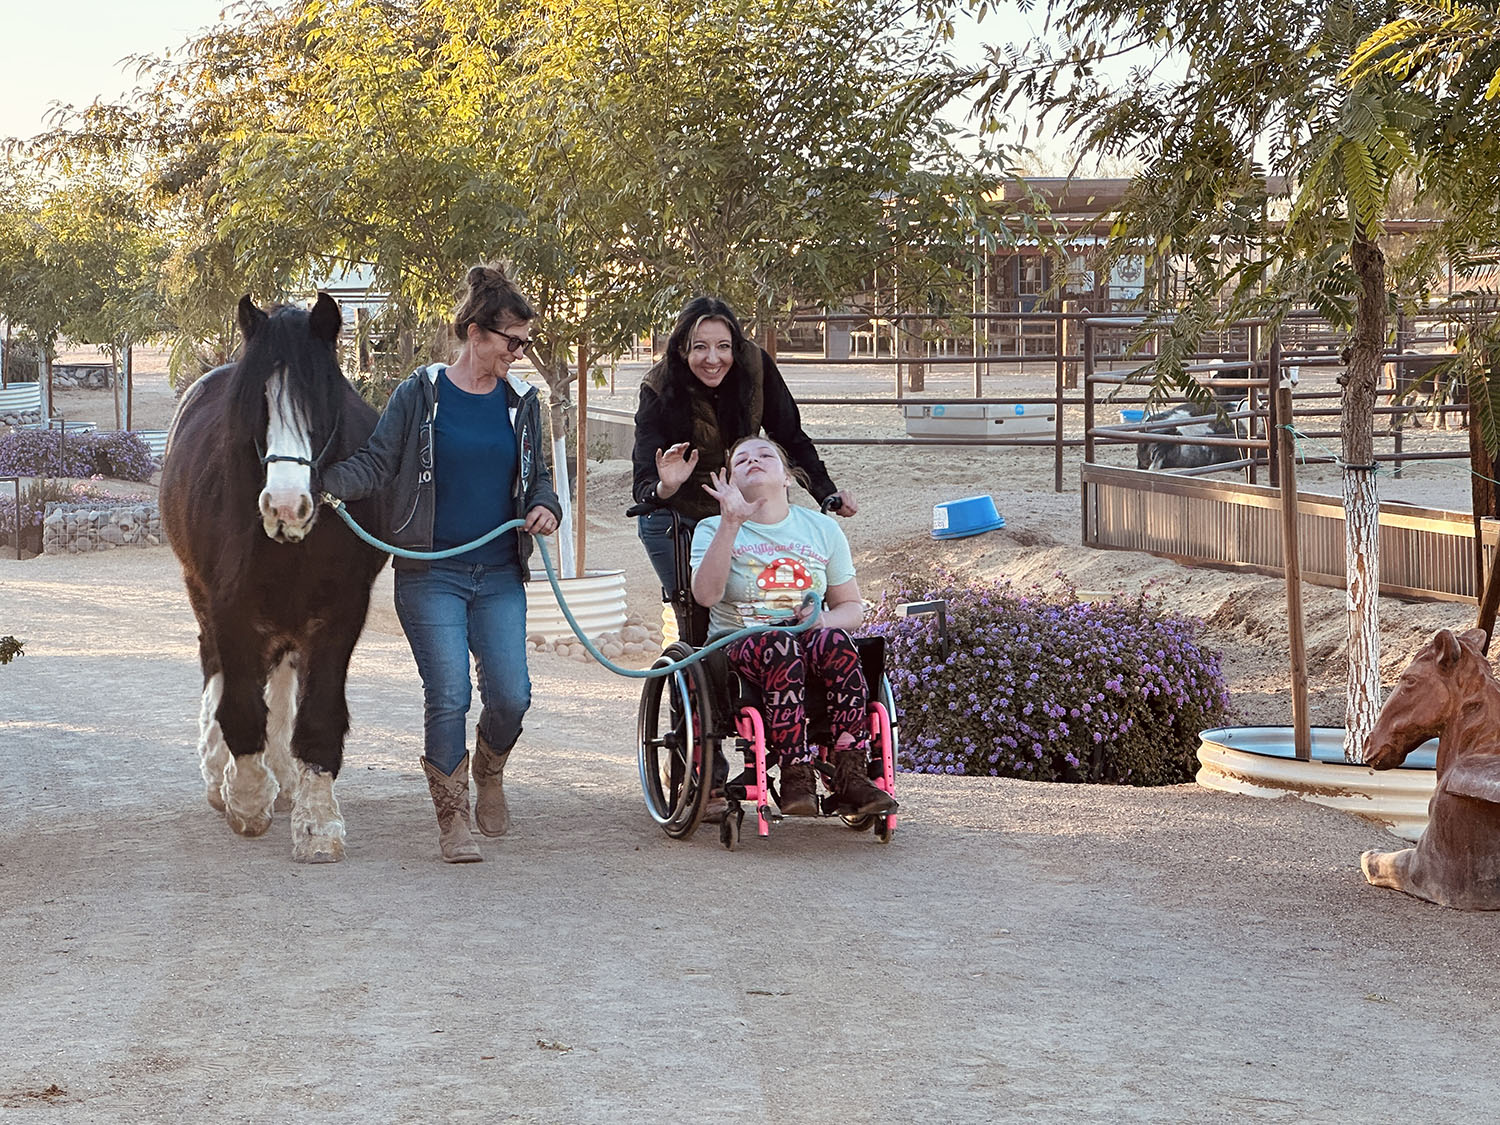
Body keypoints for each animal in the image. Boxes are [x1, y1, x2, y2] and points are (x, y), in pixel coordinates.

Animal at [161, 295, 390, 870]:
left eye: (320, 400)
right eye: (259, 404)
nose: (286, 507)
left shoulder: (341, 614)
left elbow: (318, 715)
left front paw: (317, 825)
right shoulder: (229, 607)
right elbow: (240, 705)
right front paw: (244, 798)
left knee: (283, 678)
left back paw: (284, 779)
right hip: (200, 594)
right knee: (216, 669)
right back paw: (220, 775)